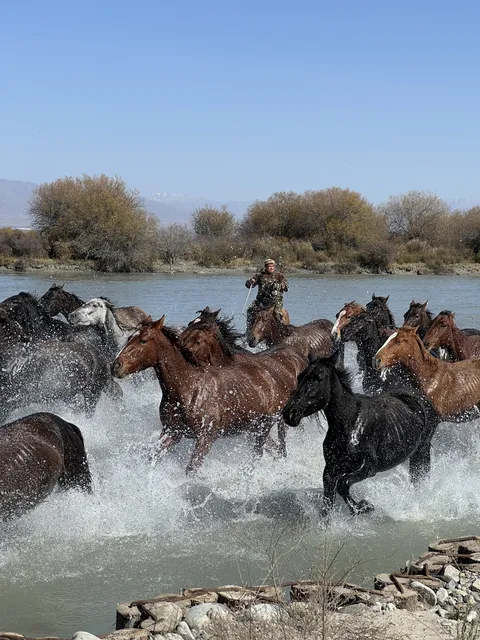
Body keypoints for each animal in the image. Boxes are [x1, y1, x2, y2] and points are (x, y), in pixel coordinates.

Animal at [112, 316, 310, 472]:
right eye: (129, 338)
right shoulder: (172, 432)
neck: (188, 388)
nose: (116, 366)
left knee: (259, 455)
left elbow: (191, 469)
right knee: (276, 451)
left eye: (143, 340)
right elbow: (152, 455)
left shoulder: (206, 438)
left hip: (263, 427)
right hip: (253, 429)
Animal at [282, 352, 439, 515]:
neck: (348, 422)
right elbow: (327, 505)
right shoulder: (330, 470)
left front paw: (363, 507)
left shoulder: (368, 467)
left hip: (421, 450)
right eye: (300, 377)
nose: (289, 413)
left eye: (318, 378)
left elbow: (343, 484)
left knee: (420, 478)